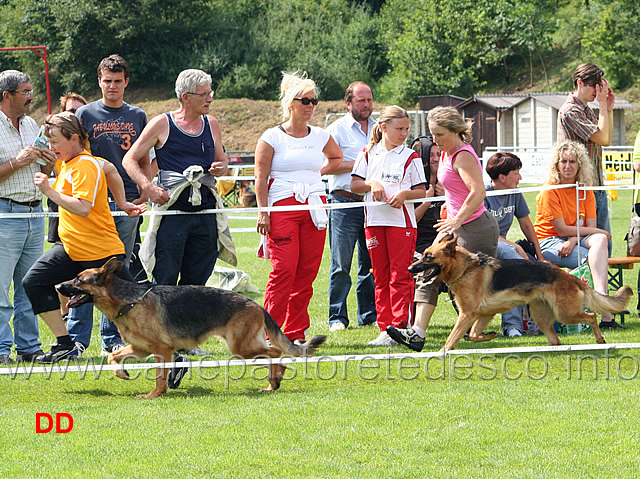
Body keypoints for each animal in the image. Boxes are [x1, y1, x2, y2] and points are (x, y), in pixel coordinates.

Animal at [55, 258, 328, 398]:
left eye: (79, 280)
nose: (57, 286)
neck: (129, 301)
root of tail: (256, 304)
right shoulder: (141, 349)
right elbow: (114, 357)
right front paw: (122, 373)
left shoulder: (161, 351)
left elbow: (160, 377)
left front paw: (155, 395)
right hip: (246, 346)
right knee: (276, 354)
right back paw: (275, 382)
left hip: (241, 348)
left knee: (276, 353)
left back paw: (274, 381)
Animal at [408, 237, 632, 352]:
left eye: (428, 257)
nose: (410, 268)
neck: (466, 269)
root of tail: (568, 276)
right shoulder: (483, 315)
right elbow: (472, 335)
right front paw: (490, 335)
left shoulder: (467, 315)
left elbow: (451, 339)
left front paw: (441, 354)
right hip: (543, 317)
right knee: (556, 341)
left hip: (566, 314)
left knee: (591, 316)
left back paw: (600, 339)